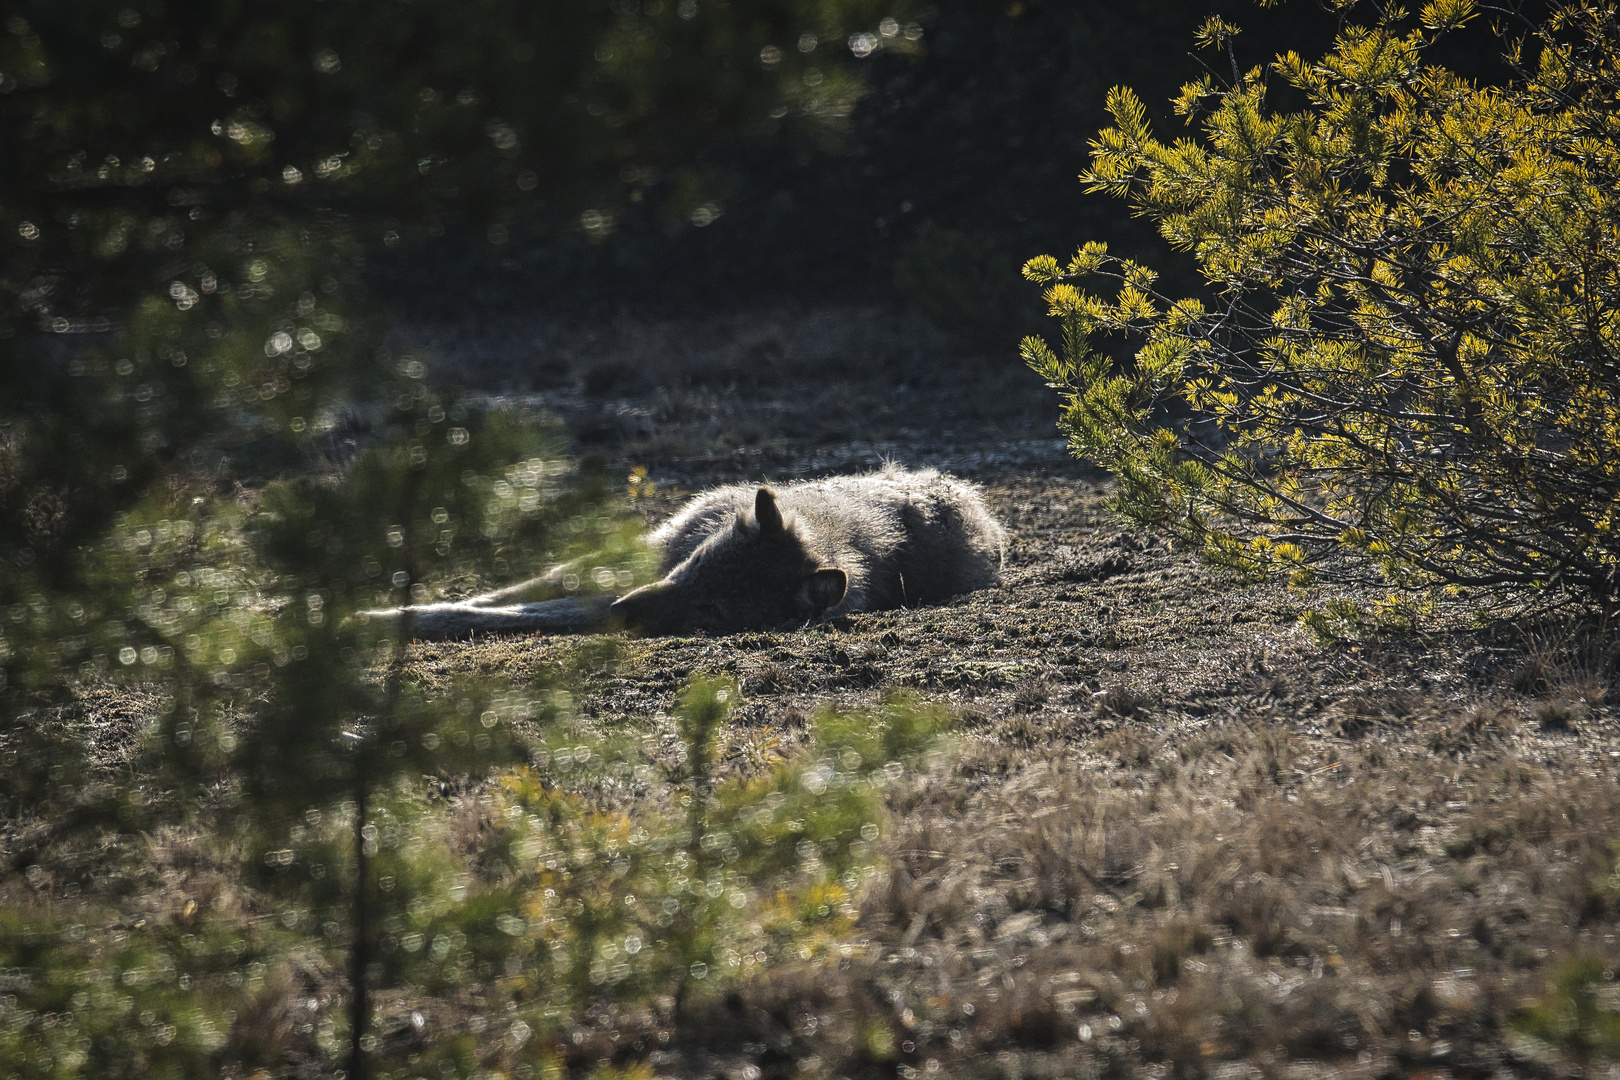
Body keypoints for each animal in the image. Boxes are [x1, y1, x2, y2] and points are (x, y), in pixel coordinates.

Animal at [383, 466, 1004, 641]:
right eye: (700, 564)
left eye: (713, 612)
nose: (624, 612)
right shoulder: (648, 560)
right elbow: (498, 597)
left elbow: (490, 612)